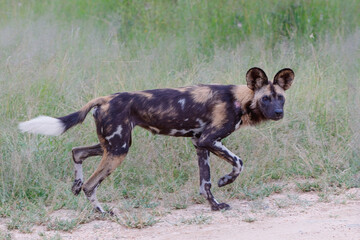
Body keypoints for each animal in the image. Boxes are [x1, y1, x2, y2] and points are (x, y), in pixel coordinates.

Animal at [19, 66, 294, 213]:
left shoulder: (199, 144)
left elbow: (205, 183)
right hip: (118, 150)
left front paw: (215, 206)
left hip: (112, 146)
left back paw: (77, 187)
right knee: (91, 184)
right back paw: (103, 213)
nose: (279, 113)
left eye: (280, 98)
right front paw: (225, 181)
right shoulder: (209, 140)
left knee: (77, 152)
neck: (240, 100)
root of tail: (104, 99)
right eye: (266, 98)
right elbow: (238, 163)